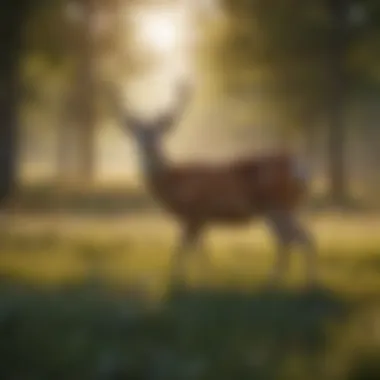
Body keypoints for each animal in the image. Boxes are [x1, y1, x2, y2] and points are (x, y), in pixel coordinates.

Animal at [113, 81, 318, 288]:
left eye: (159, 131)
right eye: (137, 133)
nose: (147, 146)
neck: (174, 181)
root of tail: (301, 167)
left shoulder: (194, 211)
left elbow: (182, 247)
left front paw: (177, 279)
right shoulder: (201, 218)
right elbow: (200, 249)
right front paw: (205, 276)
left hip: (277, 203)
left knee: (294, 239)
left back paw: (287, 280)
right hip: (285, 206)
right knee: (294, 238)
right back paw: (291, 280)